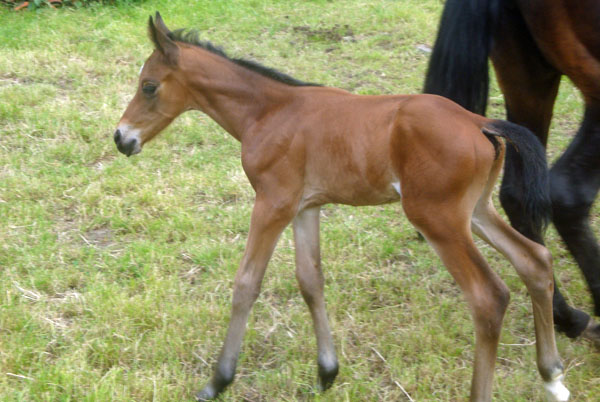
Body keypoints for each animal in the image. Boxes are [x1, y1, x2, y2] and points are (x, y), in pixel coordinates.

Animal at [115, 12, 568, 402]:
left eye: (149, 86)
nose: (121, 138)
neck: (269, 112)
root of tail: (480, 123)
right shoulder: (304, 207)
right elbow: (310, 281)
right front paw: (327, 371)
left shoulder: (272, 203)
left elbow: (246, 283)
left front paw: (218, 380)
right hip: (475, 211)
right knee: (535, 259)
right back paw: (552, 376)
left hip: (438, 219)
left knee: (488, 296)